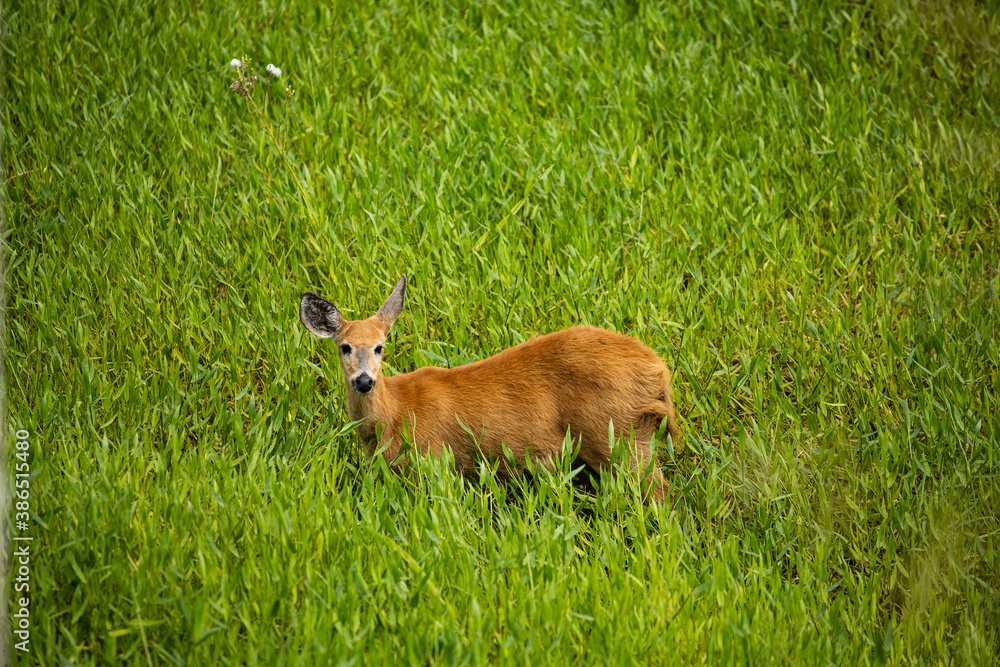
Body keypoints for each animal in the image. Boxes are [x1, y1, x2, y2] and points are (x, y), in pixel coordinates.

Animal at [299, 275, 681, 504]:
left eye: (380, 347)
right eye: (344, 347)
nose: (364, 381)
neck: (393, 414)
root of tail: (657, 370)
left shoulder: (433, 462)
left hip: (615, 433)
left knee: (659, 492)